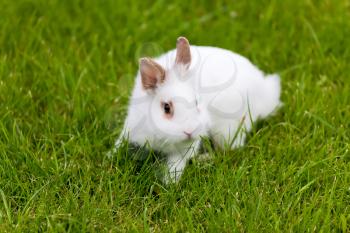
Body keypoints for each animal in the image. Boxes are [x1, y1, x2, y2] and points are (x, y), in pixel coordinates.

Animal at [115, 36, 282, 184]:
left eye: (197, 102)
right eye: (166, 107)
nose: (190, 131)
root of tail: (265, 90)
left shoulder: (183, 152)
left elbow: (176, 166)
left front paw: (170, 184)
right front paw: (111, 156)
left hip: (228, 130)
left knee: (228, 150)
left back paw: (203, 159)